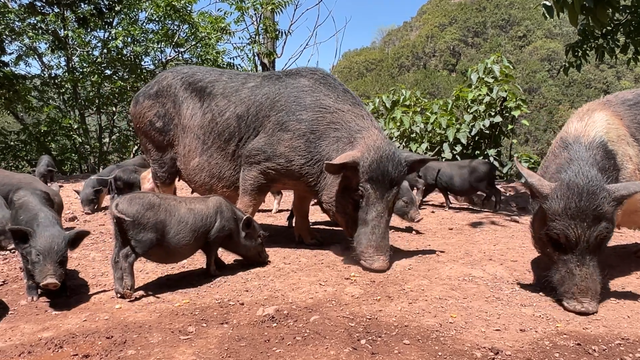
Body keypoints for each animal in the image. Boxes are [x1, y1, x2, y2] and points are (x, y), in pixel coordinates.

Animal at [110, 193, 270, 300]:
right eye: (260, 238)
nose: (268, 258)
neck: (234, 225)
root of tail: (118, 203)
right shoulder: (215, 235)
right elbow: (212, 253)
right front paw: (216, 272)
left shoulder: (205, 240)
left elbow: (212, 254)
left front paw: (223, 266)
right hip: (142, 240)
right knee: (126, 256)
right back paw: (129, 292)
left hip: (119, 236)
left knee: (114, 259)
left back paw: (119, 293)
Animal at [129, 65, 430, 272]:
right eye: (359, 193)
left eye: (395, 197)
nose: (380, 265)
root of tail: (138, 94)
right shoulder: (256, 161)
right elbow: (249, 202)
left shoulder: (305, 180)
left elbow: (302, 207)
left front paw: (313, 241)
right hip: (158, 145)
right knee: (164, 182)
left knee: (147, 176)